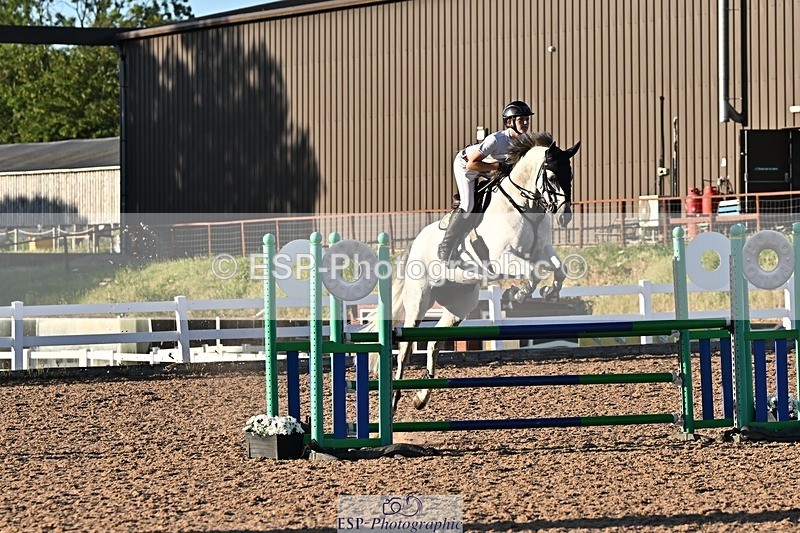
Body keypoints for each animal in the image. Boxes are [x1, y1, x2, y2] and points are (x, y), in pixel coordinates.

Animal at [371, 131, 580, 411]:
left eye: (570, 175)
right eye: (552, 176)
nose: (565, 217)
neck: (523, 207)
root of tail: (413, 245)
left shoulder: (542, 251)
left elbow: (559, 270)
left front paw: (548, 293)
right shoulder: (503, 259)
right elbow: (534, 272)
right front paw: (517, 294)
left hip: (459, 306)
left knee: (433, 343)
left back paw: (421, 397)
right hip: (418, 301)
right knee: (405, 348)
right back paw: (394, 401)